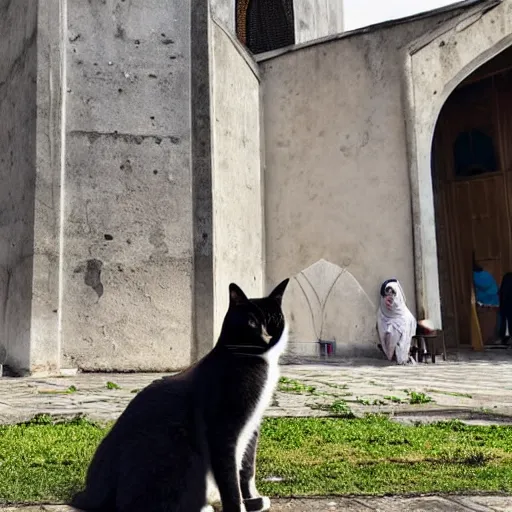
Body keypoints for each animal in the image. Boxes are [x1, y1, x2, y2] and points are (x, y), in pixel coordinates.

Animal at [70, 278, 290, 512]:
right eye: (251, 322)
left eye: (275, 320)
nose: (268, 336)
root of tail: (88, 495)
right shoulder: (223, 428)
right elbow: (229, 478)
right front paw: (237, 506)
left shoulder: (253, 424)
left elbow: (247, 467)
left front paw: (251, 500)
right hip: (183, 450)